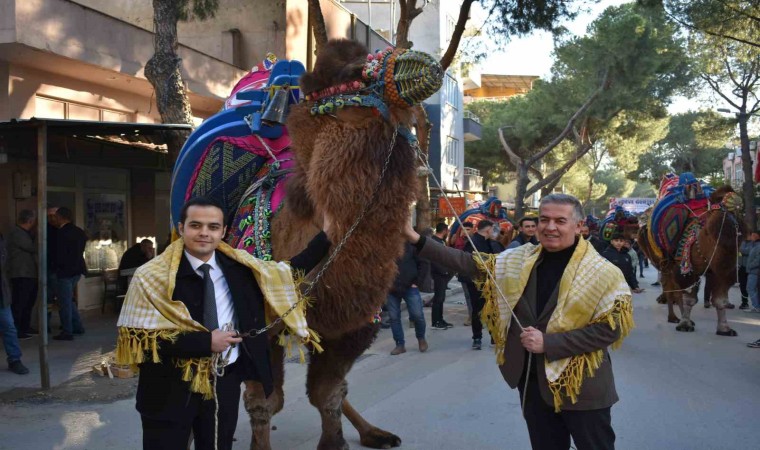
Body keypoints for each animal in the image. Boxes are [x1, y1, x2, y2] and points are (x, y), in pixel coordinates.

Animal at [169, 40, 442, 448]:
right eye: (356, 73)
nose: (429, 67)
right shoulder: (254, 325)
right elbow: (264, 402)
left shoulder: (352, 328)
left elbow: (328, 393)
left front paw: (336, 441)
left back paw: (373, 432)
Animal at [636, 174, 744, 336]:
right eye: (708, 232)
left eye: (738, 231)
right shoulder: (686, 269)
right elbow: (688, 298)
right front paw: (685, 324)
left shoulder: (722, 272)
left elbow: (720, 300)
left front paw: (725, 328)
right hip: (663, 261)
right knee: (670, 287)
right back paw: (673, 317)